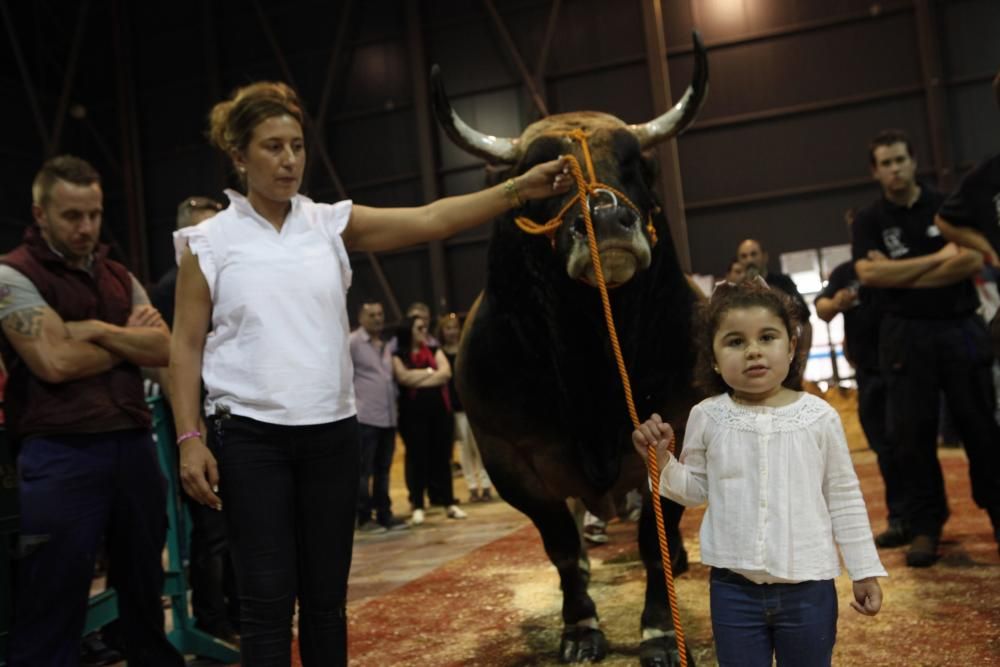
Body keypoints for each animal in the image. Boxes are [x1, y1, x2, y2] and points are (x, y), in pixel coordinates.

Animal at [434, 32, 708, 667]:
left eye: (638, 164)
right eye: (541, 175)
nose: (604, 217)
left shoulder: (678, 428)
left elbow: (655, 537)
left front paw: (659, 632)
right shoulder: (509, 457)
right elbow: (560, 545)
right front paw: (581, 626)